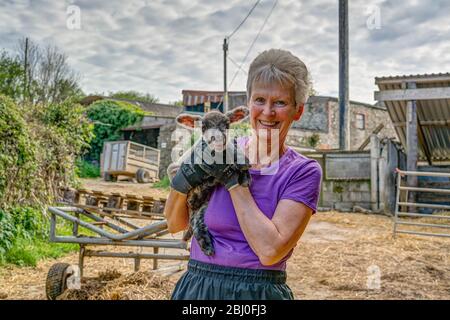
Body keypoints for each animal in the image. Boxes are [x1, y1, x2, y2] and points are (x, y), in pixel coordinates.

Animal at [168, 106, 251, 256]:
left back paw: (205, 243)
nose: (217, 140)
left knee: (198, 217)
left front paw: (243, 167)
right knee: (191, 217)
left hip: (205, 202)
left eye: (227, 124)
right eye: (203, 127)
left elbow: (233, 148)